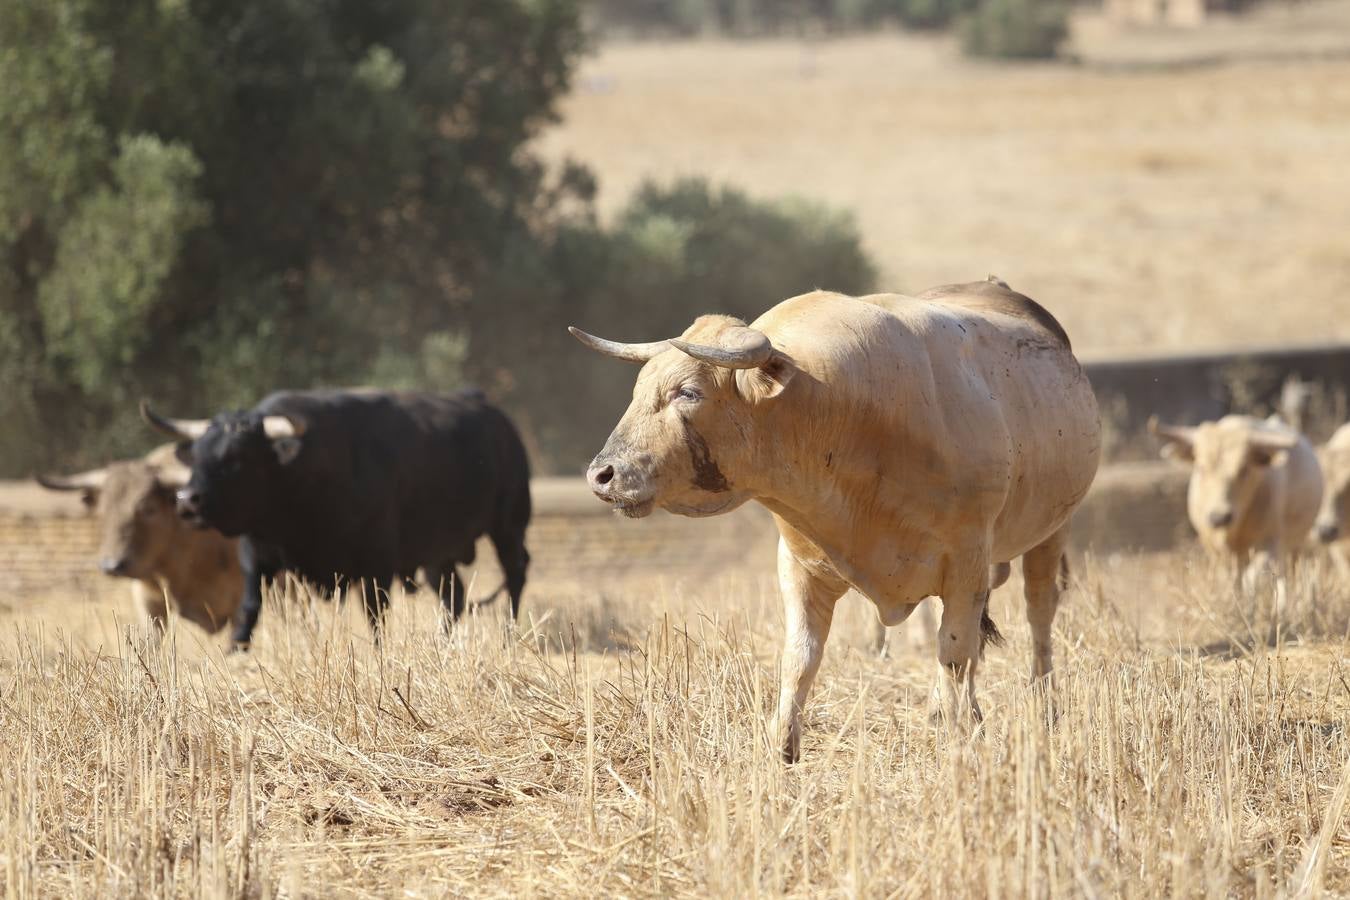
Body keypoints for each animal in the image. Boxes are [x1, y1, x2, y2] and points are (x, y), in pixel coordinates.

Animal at [145, 388, 529, 647]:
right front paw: (236, 649)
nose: (187, 501)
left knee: (515, 574)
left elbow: (376, 615)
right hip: (438, 553)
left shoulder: (377, 564)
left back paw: (509, 634)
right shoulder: (257, 550)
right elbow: (251, 604)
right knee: (454, 595)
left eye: (237, 457)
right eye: (197, 455)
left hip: (509, 524)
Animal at [569, 276, 1096, 761]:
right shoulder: (800, 564)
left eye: (689, 392)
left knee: (1038, 615)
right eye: (640, 389)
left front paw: (961, 739)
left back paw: (1044, 707)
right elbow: (800, 656)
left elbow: (955, 653)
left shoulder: (967, 565)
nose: (602, 474)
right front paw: (782, 747)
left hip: (1052, 534)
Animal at [1144, 418, 1323, 577]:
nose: (1219, 517)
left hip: (1293, 547)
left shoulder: (1269, 544)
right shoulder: (1216, 552)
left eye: (1244, 469)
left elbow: (1251, 579)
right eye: (1201, 467)